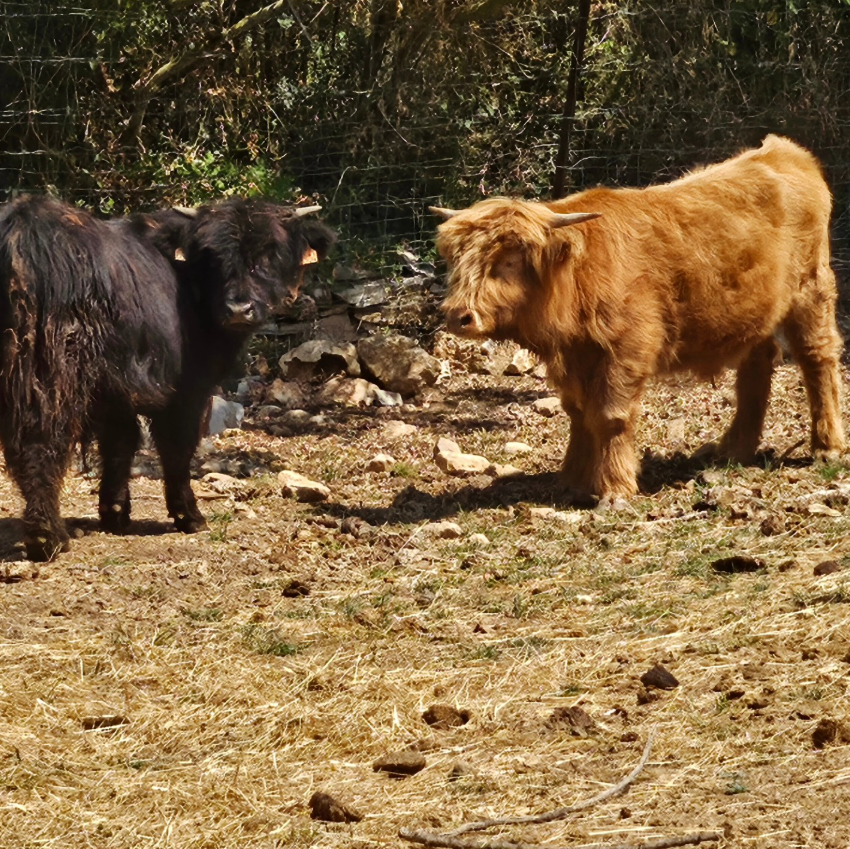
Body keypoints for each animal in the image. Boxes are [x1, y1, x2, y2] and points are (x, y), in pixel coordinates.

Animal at [0, 195, 335, 560]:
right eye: (211, 257)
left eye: (270, 253)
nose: (238, 309)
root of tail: (23, 233)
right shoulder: (186, 390)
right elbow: (177, 446)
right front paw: (188, 515)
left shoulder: (116, 389)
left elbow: (120, 443)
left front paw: (115, 514)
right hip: (51, 374)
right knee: (41, 441)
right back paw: (48, 538)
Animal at [433, 135, 845, 503]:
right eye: (457, 259)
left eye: (508, 260)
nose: (458, 316)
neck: (577, 277)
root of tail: (783, 150)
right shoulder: (575, 356)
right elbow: (578, 413)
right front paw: (574, 480)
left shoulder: (626, 348)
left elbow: (609, 416)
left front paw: (614, 488)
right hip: (755, 311)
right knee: (757, 366)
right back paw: (734, 449)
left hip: (811, 290)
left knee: (817, 357)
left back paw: (827, 447)